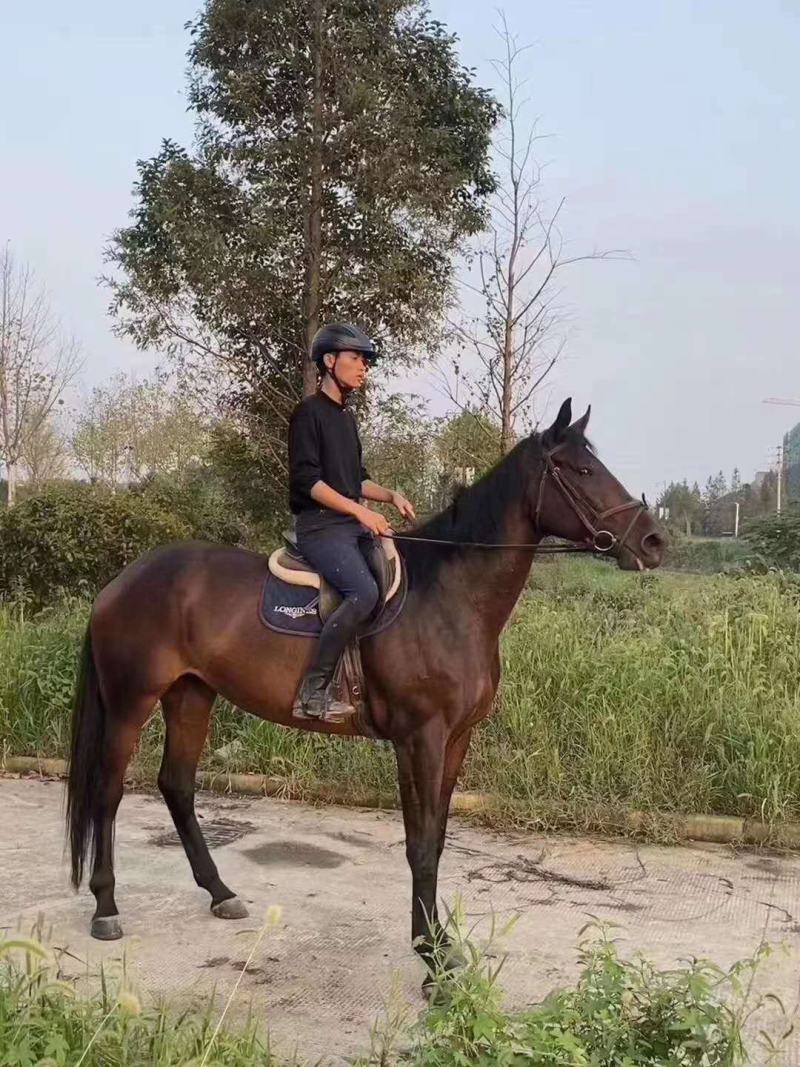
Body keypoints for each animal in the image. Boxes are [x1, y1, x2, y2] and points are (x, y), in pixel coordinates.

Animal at [66, 398, 664, 978]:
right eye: (582, 470)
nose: (654, 542)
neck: (450, 597)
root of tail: (123, 581)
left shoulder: (455, 740)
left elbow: (436, 840)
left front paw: (439, 942)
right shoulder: (419, 738)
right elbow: (420, 845)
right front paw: (431, 961)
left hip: (191, 695)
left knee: (177, 786)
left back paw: (219, 892)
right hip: (131, 702)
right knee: (108, 792)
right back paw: (106, 908)